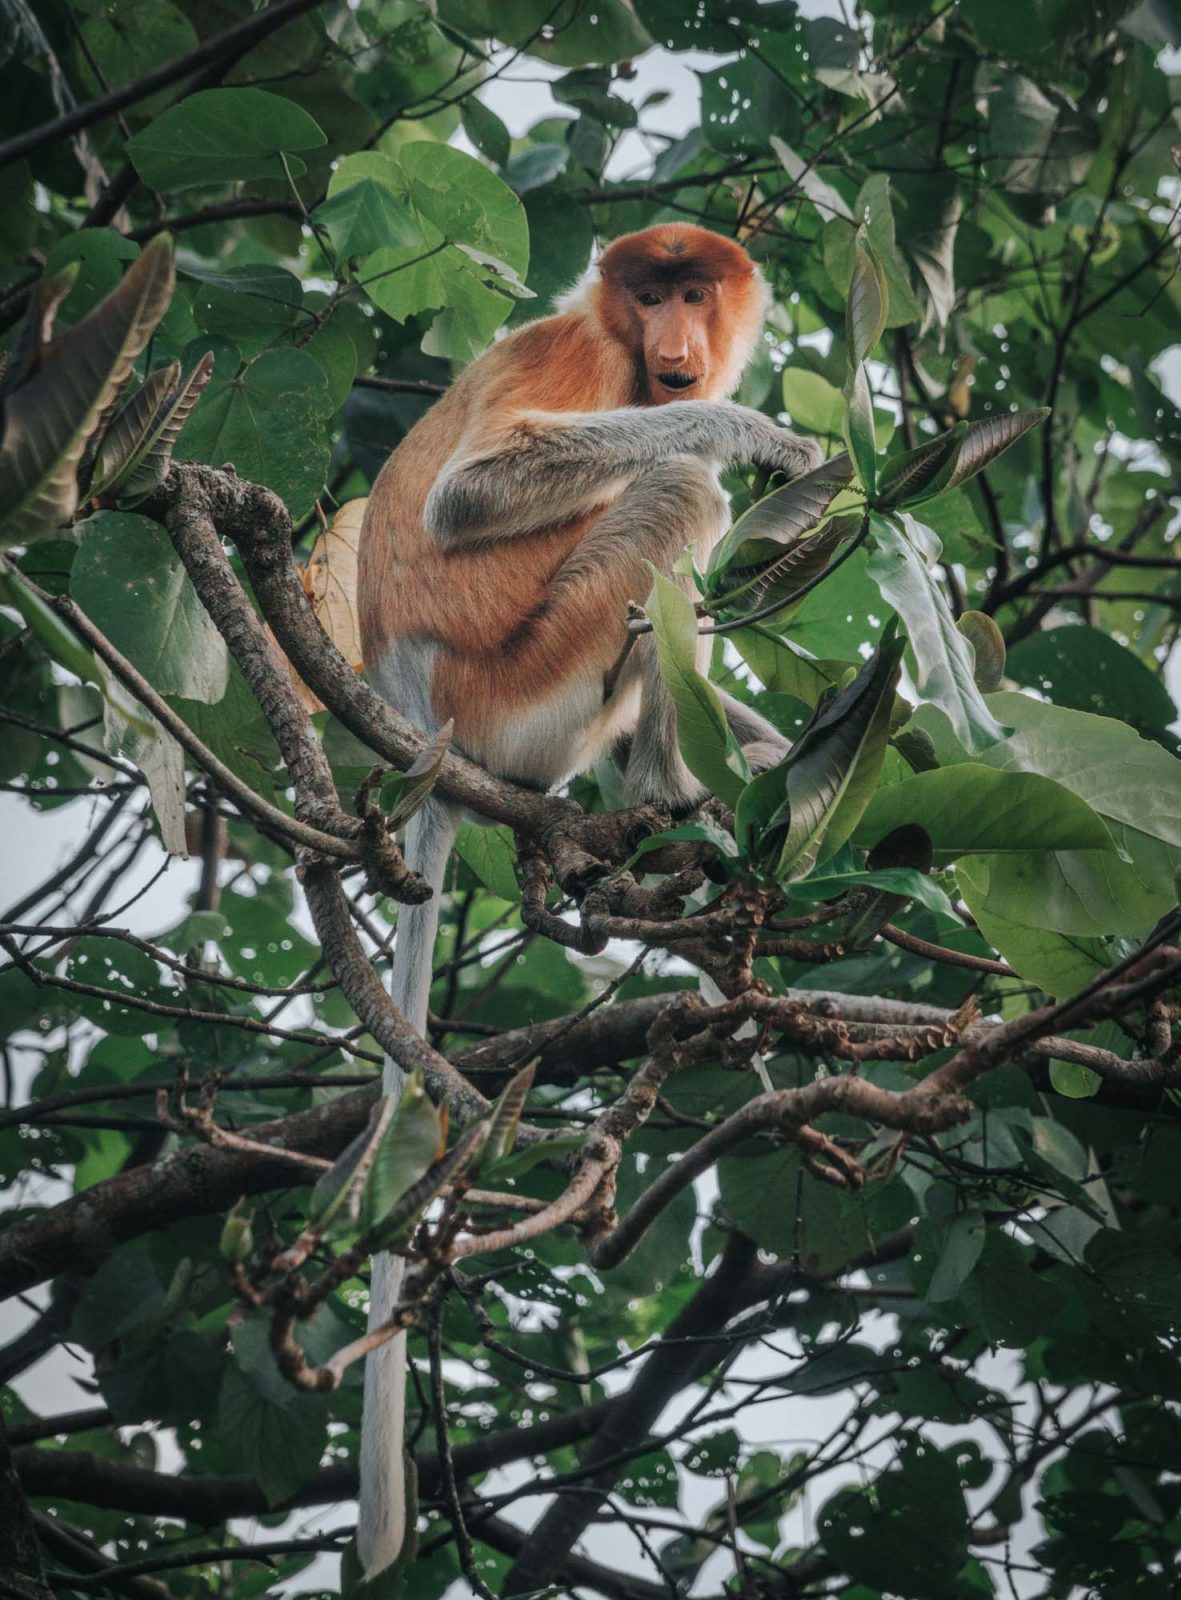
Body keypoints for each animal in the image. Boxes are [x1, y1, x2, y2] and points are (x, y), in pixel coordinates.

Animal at [348, 222, 819, 1574]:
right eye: (648, 294)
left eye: (694, 290)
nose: (676, 345)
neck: (616, 340)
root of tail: (426, 733)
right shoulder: (581, 359)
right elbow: (473, 493)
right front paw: (756, 434)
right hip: (530, 687)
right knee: (672, 498)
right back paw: (673, 790)